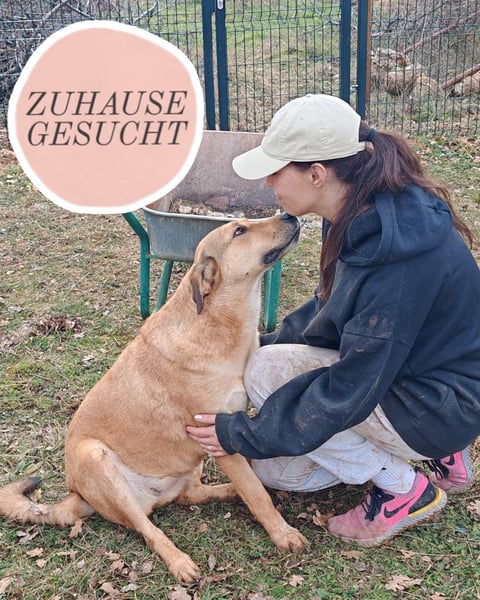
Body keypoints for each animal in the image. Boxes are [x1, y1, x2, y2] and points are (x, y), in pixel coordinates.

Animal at [0, 212, 306, 583]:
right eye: (240, 231)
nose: (290, 214)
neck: (217, 324)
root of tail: (74, 496)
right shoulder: (219, 437)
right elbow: (256, 495)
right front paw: (282, 533)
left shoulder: (230, 428)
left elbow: (251, 481)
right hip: (96, 457)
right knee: (149, 530)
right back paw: (180, 562)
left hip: (188, 463)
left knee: (190, 495)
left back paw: (228, 492)